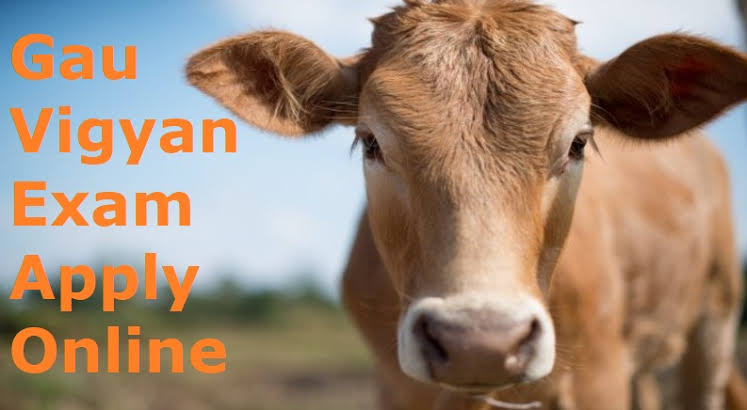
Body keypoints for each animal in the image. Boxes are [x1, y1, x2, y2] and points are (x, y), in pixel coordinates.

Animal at [185, 0, 747, 408]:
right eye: (370, 142)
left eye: (578, 143)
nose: (481, 341)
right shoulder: (398, 387)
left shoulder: (598, 376)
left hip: (713, 320)